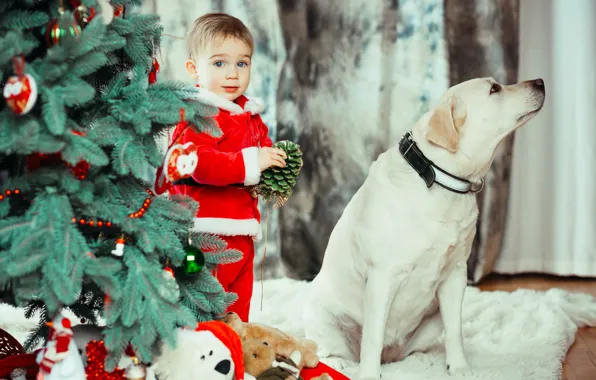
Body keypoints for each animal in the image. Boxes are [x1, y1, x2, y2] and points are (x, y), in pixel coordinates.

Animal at [304, 77, 548, 380]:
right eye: (494, 89)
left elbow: (455, 330)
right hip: (320, 315)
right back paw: (338, 365)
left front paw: (460, 367)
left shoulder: (456, 274)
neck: (438, 176)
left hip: (432, 318)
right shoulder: (382, 275)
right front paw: (369, 375)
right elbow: (372, 338)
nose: (540, 82)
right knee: (328, 351)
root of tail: (392, 354)